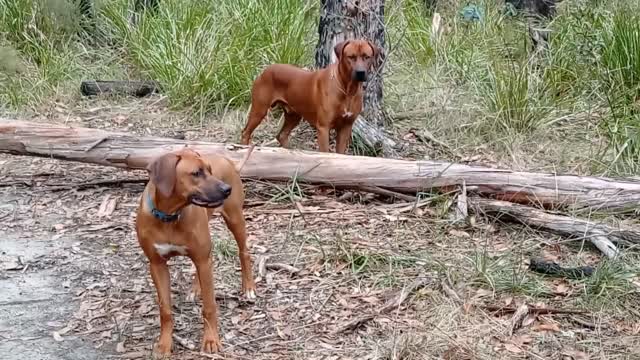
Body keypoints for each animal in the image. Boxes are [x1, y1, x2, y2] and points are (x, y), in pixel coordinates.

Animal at [136, 146, 256, 354]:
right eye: (196, 173)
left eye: (209, 170)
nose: (227, 189)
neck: (169, 216)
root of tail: (228, 160)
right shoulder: (157, 265)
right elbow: (165, 309)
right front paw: (164, 343)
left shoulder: (202, 258)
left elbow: (209, 306)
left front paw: (211, 340)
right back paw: (196, 288)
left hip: (235, 219)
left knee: (244, 252)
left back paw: (248, 287)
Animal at [240, 39, 380, 153]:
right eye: (351, 57)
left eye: (367, 57)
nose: (360, 72)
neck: (348, 90)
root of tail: (265, 71)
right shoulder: (323, 128)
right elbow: (325, 153)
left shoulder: (346, 127)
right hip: (259, 109)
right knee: (246, 132)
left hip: (294, 115)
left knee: (282, 135)